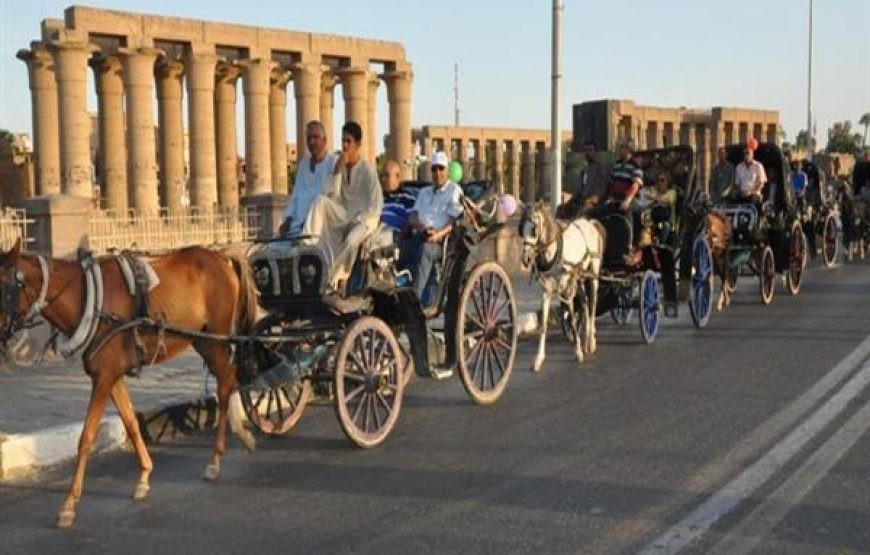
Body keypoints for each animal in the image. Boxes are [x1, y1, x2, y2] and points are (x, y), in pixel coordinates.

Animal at [0, 240, 258, 528]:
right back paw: (241, 433)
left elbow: (86, 437)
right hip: (202, 340)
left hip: (215, 339)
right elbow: (131, 422)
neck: (89, 300)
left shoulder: (103, 378)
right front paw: (144, 476)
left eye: (4, 285)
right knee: (229, 378)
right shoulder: (111, 377)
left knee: (225, 384)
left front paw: (69, 505)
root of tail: (221, 257)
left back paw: (217, 457)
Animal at [516, 202, 608, 372]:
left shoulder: (565, 288)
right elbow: (544, 324)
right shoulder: (546, 290)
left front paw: (578, 352)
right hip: (578, 277)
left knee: (592, 304)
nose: (526, 259)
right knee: (584, 303)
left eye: (534, 228)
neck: (553, 251)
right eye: (521, 228)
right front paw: (538, 359)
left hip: (592, 273)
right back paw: (586, 340)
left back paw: (590, 341)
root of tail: (589, 222)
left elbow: (571, 317)